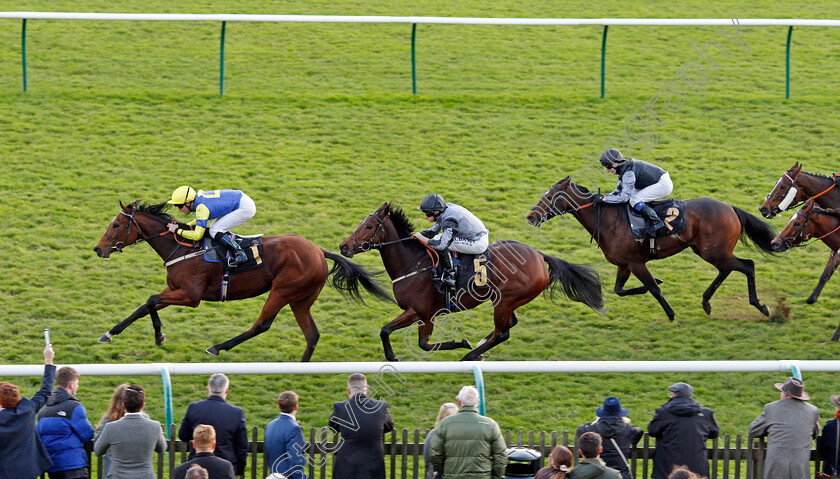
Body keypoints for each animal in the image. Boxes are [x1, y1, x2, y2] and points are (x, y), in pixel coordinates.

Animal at [93, 201, 392, 362]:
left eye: (116, 225)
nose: (98, 249)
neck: (182, 247)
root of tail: (319, 251)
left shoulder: (191, 296)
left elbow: (151, 300)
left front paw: (159, 336)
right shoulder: (175, 289)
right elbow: (143, 306)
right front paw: (109, 333)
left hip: (283, 290)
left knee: (262, 324)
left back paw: (217, 347)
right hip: (301, 299)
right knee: (312, 334)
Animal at [338, 203, 608, 364]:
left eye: (369, 226)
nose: (344, 246)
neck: (413, 263)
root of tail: (541, 256)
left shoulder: (421, 311)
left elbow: (397, 334)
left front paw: (393, 357)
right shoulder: (425, 314)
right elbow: (417, 341)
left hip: (506, 299)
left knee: (503, 332)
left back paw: (470, 355)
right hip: (503, 300)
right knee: (507, 325)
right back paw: (478, 347)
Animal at [524, 178, 776, 320]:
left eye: (551, 196)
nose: (531, 217)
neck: (608, 220)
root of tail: (730, 208)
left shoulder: (636, 263)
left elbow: (654, 289)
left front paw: (671, 314)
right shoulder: (624, 264)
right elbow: (620, 290)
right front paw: (655, 283)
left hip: (715, 251)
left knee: (747, 266)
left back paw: (761, 306)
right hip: (708, 251)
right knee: (727, 269)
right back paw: (706, 302)